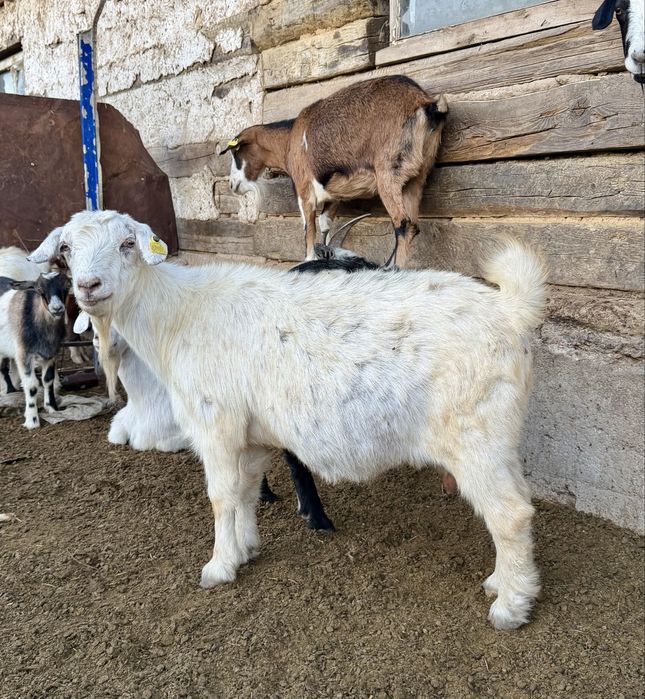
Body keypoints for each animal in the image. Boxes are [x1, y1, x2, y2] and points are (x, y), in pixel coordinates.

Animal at [0, 272, 71, 428]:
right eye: (39, 290)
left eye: (67, 286)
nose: (57, 308)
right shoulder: (24, 354)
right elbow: (32, 385)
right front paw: (32, 420)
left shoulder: (51, 353)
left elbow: (48, 380)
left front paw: (52, 408)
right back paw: (8, 391)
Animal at [33, 210, 547, 630]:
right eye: (67, 249)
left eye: (127, 244)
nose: (89, 287)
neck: (176, 317)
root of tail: (510, 311)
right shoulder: (253, 434)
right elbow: (246, 491)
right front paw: (245, 549)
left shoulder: (217, 424)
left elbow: (221, 496)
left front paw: (219, 567)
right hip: (500, 436)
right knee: (519, 504)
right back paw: (501, 581)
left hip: (473, 436)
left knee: (510, 514)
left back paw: (511, 607)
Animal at [220, 75, 448, 267]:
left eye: (235, 152)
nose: (232, 184)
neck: (288, 140)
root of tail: (426, 103)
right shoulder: (335, 195)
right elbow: (325, 224)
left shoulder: (304, 190)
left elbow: (308, 228)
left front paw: (309, 260)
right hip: (416, 178)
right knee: (413, 225)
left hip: (388, 173)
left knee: (403, 224)